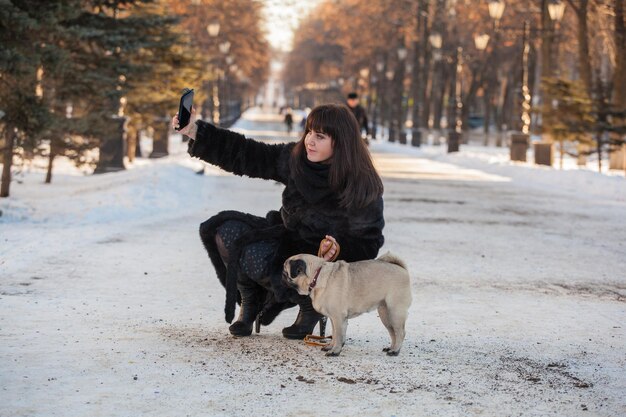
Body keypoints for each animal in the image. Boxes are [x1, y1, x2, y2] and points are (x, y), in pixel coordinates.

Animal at [282, 250, 410, 354]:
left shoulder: (338, 317)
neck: (316, 276)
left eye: (286, 272)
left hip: (395, 312)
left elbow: (338, 335)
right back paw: (391, 348)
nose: (281, 274)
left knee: (400, 333)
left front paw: (335, 351)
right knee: (393, 333)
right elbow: (335, 335)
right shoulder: (334, 319)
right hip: (385, 315)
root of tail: (402, 269)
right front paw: (331, 347)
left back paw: (395, 351)